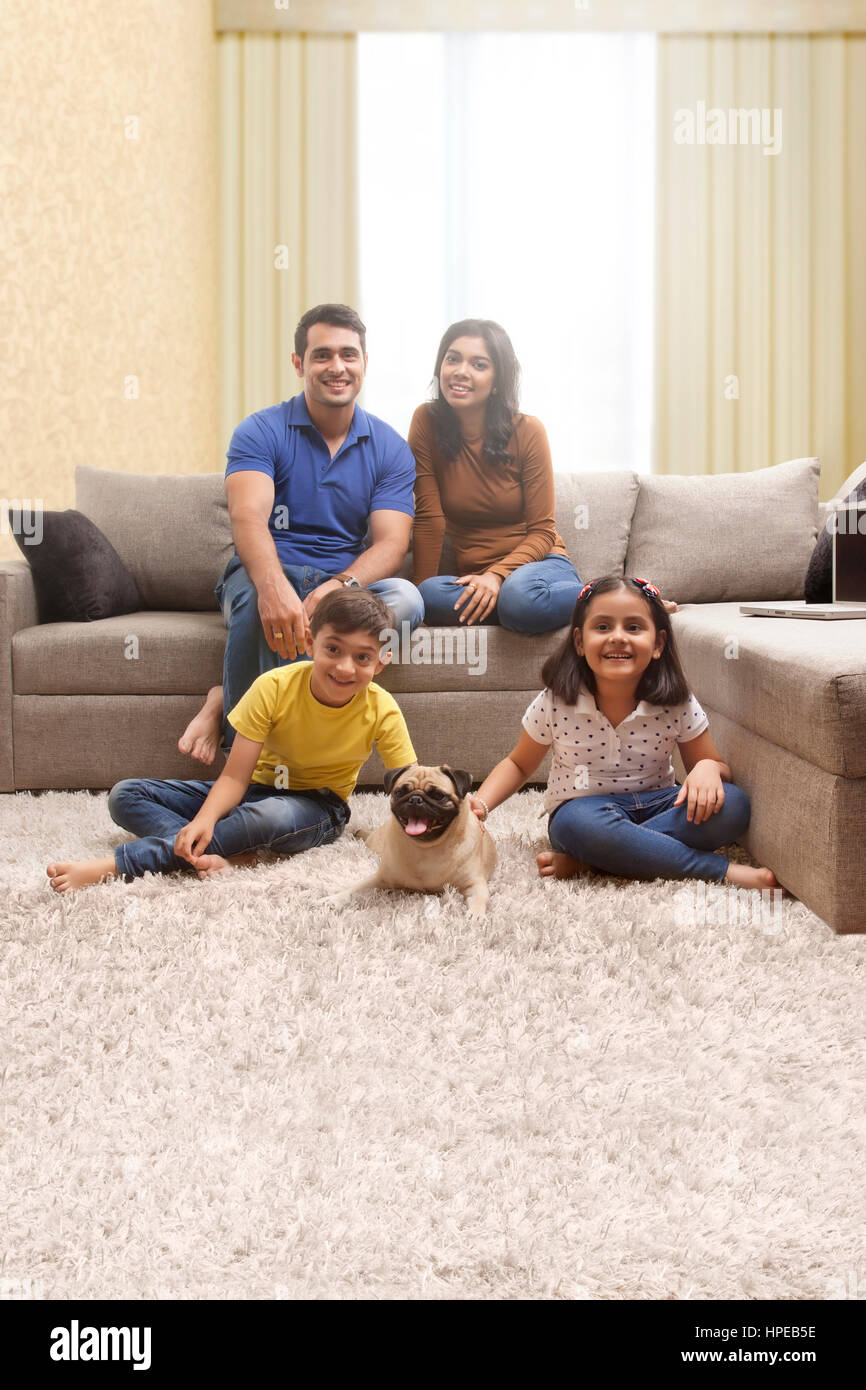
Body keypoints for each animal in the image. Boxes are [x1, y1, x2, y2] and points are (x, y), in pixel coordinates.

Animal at [333, 767, 497, 917]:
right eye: (400, 792)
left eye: (438, 795)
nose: (415, 799)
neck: (425, 847)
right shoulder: (381, 879)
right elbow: (355, 888)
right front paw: (334, 900)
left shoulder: (474, 883)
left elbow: (479, 899)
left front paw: (475, 915)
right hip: (375, 843)